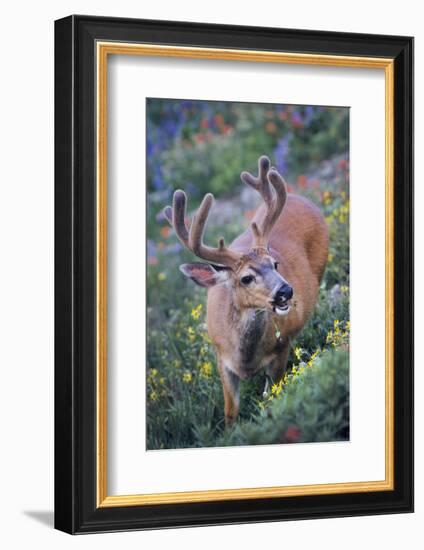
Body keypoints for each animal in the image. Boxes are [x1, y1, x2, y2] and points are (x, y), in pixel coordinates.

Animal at [162, 155, 328, 426]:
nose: (286, 291)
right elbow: (230, 412)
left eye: (275, 264)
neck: (246, 359)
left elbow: (271, 395)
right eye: (246, 278)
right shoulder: (221, 357)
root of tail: (299, 197)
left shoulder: (282, 348)